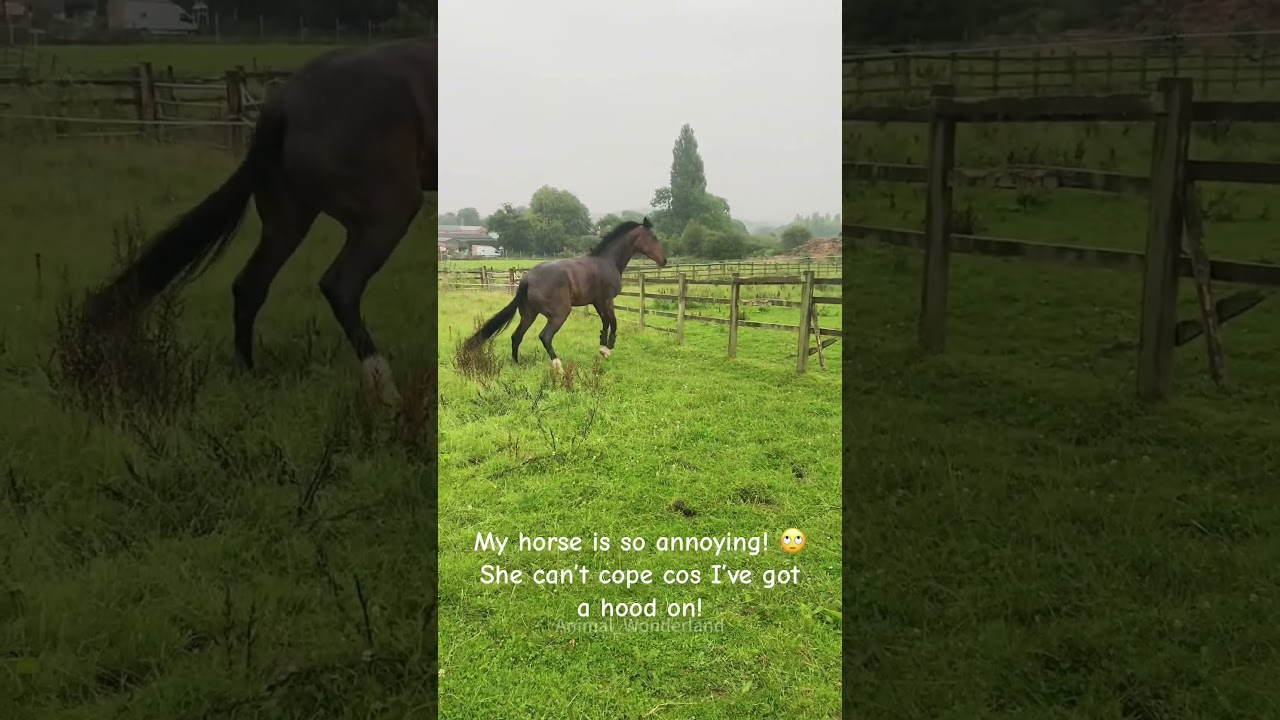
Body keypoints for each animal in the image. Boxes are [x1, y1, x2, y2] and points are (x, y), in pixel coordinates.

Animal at [82, 38, 436, 404]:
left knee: (249, 285)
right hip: (386, 214)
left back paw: (248, 375)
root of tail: (285, 102)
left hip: (287, 222)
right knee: (341, 286)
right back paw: (386, 391)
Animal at [465, 218, 668, 372]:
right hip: (560, 313)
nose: (664, 260)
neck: (607, 260)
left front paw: (602, 346)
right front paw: (607, 351)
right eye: (653, 237)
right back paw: (558, 367)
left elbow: (605, 322)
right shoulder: (607, 299)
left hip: (529, 315)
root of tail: (527, 279)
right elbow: (613, 322)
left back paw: (517, 364)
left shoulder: (597, 301)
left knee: (516, 336)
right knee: (545, 336)